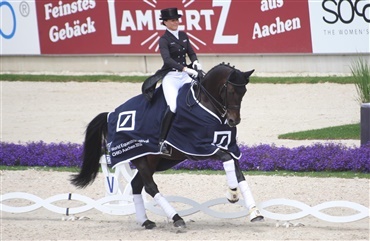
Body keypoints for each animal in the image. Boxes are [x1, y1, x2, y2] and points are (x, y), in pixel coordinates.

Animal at [71, 62, 264, 228]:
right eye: (230, 90)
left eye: (244, 91)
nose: (233, 120)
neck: (205, 104)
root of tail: (111, 114)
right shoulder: (199, 147)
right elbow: (226, 160)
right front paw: (232, 194)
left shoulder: (229, 147)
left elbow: (238, 172)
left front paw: (254, 212)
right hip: (141, 158)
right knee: (150, 187)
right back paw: (177, 219)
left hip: (153, 161)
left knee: (137, 185)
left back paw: (146, 221)